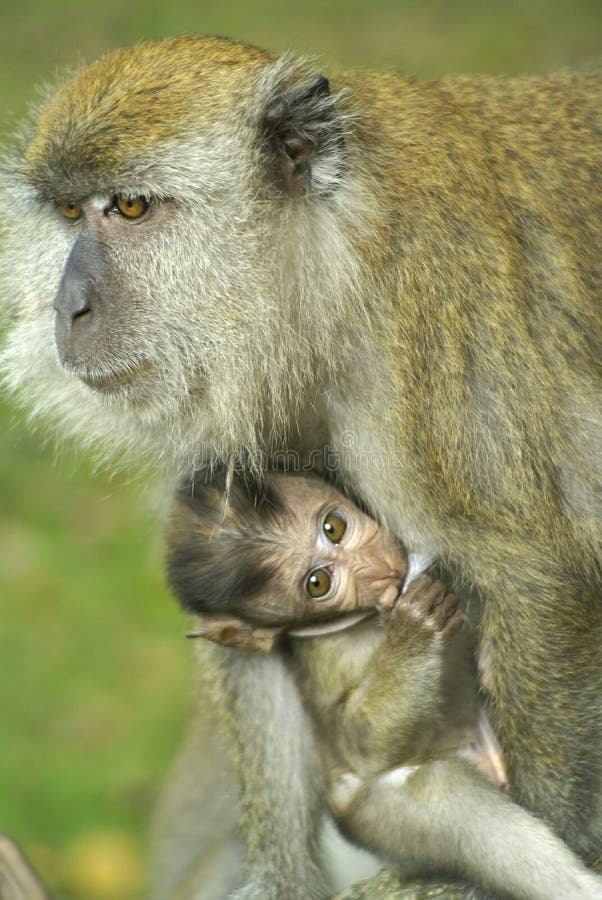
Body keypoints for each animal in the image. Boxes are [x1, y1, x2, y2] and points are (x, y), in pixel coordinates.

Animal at [166, 472, 600, 900]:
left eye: (333, 527)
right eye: (317, 583)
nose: (374, 566)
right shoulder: (330, 656)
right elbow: (361, 742)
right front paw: (414, 631)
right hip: (381, 819)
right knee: (444, 794)